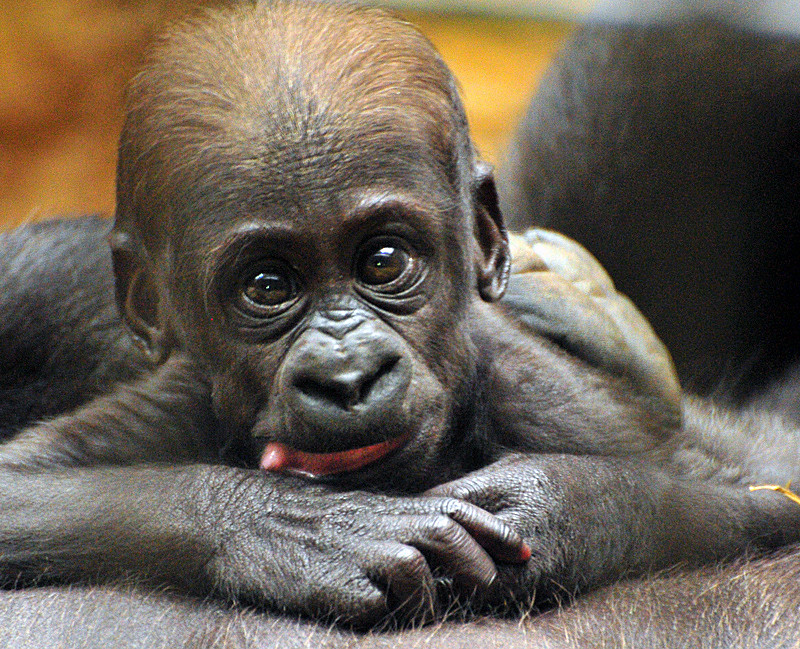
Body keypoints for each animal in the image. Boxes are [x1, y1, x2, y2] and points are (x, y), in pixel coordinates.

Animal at [1, 0, 800, 628]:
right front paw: (299, 531)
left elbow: (761, 486)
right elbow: (20, 484)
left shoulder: (544, 394)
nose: (348, 377)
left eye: (384, 261)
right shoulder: (178, 394)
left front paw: (561, 508)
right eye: (267, 284)